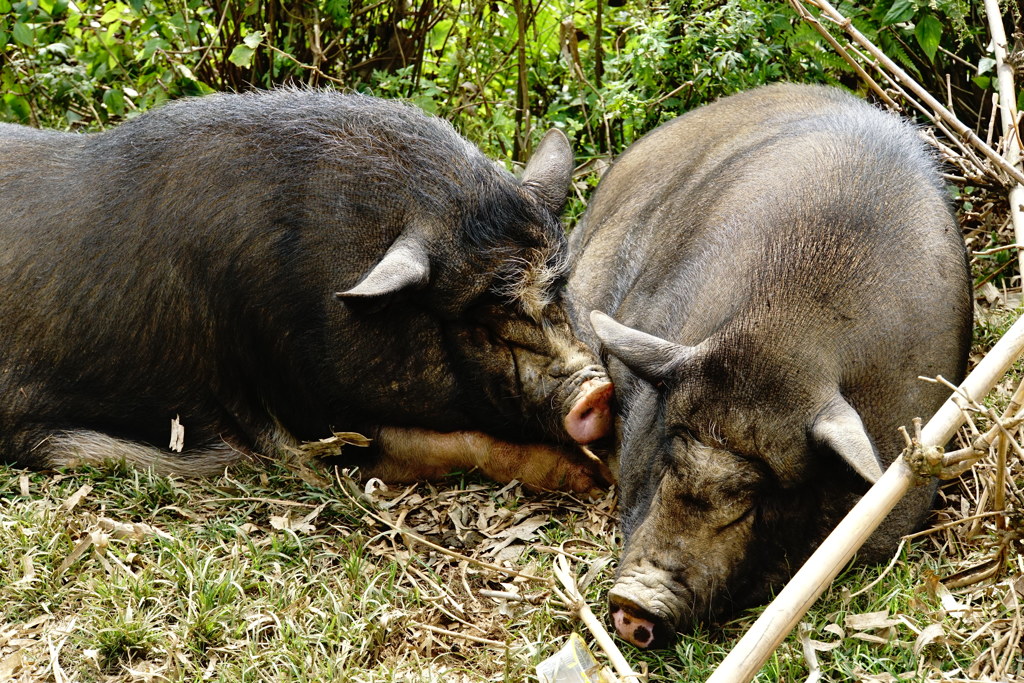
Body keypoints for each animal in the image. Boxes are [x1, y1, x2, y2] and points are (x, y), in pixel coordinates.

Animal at [0, 88, 610, 491]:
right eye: (478, 319)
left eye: (561, 286)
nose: (598, 391)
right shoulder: (305, 407)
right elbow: (451, 444)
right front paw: (590, 476)